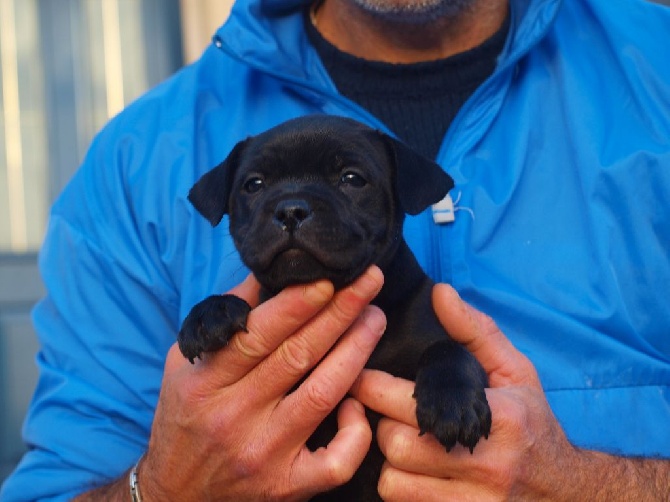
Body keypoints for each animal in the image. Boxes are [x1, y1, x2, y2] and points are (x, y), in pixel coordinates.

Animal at [181, 115, 490, 500]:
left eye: (352, 179)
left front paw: (453, 402)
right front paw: (210, 313)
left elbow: (451, 348)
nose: (291, 209)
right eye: (254, 185)